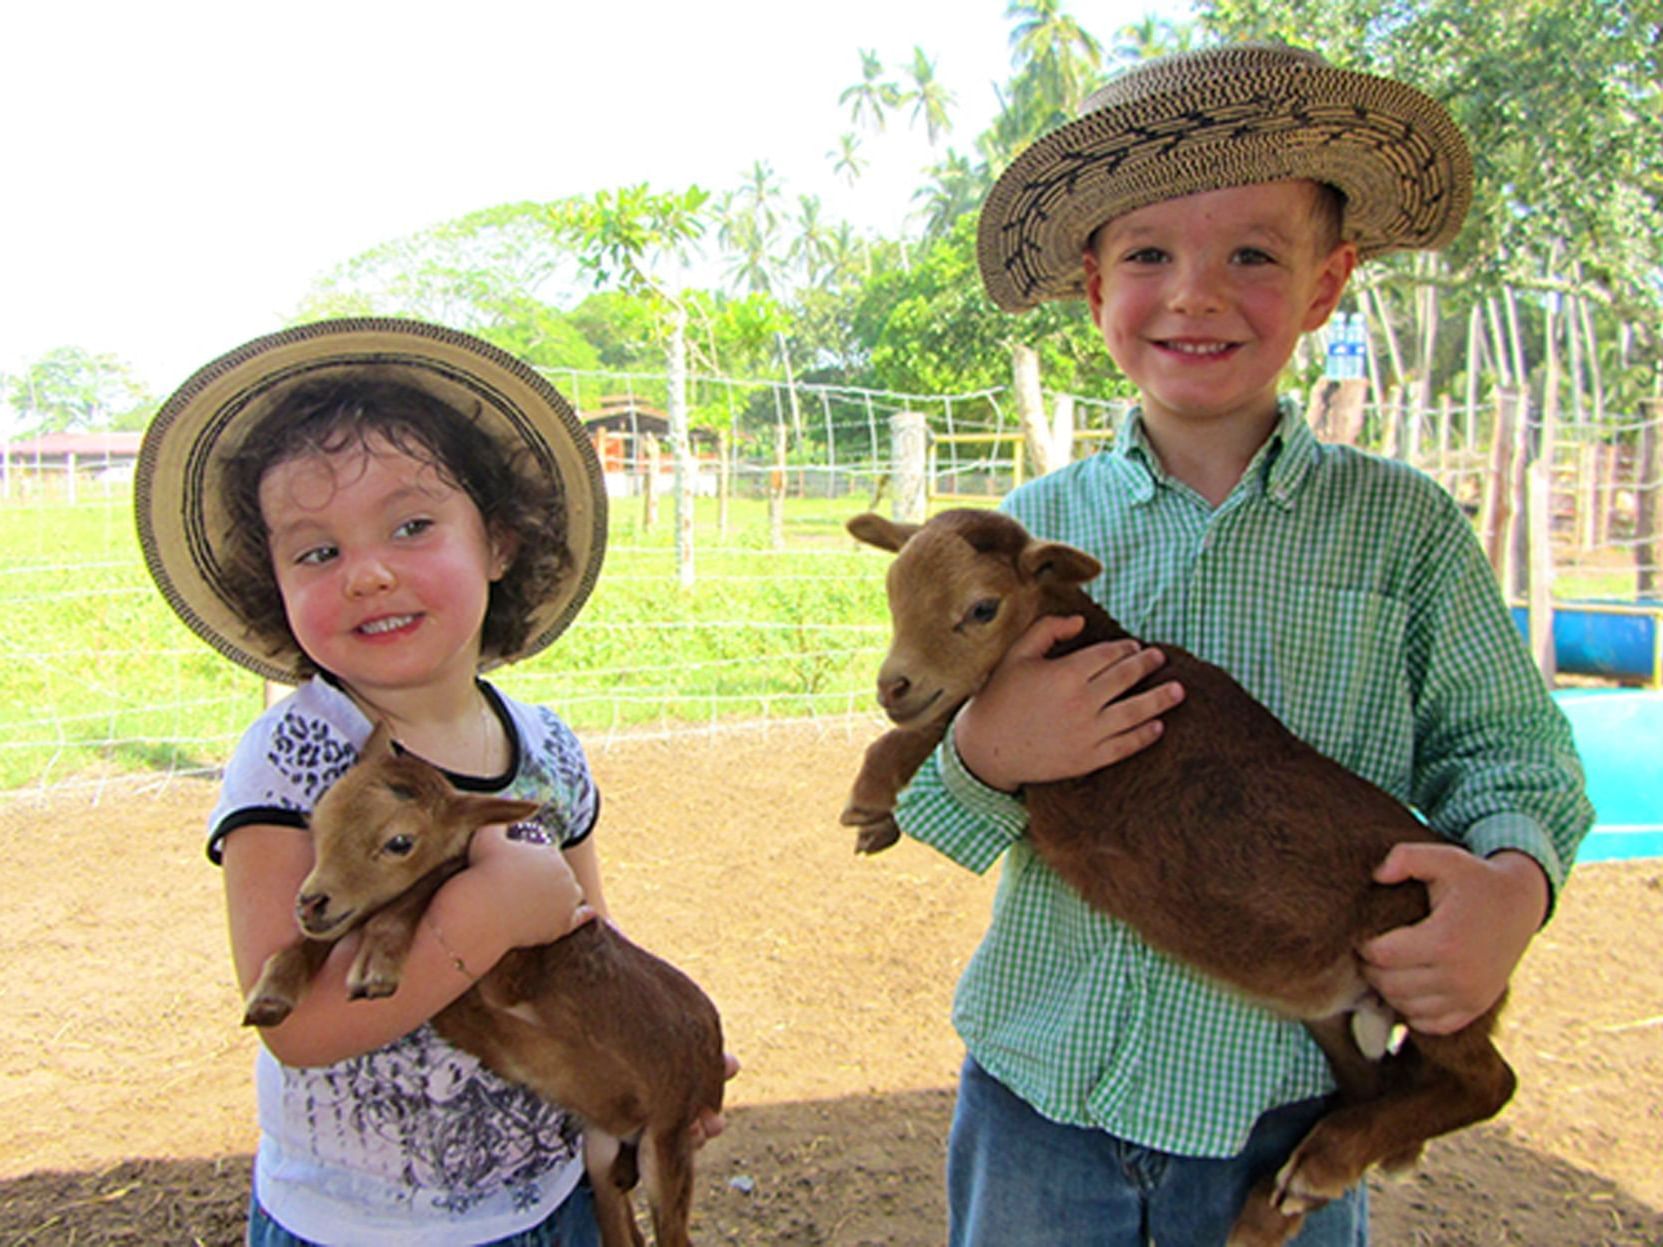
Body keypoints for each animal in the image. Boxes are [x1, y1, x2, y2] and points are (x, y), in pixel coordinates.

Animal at [242, 721, 725, 1247]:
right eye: (316, 822)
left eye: (400, 842)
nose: (311, 901)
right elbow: (324, 937)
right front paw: (272, 993)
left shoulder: (510, 974)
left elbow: (431, 880)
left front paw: (375, 965)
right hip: (602, 1147)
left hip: (669, 1136)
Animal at [851, 508, 1516, 1247]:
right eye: (891, 594)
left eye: (981, 608)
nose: (893, 685)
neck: (1090, 649)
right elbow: (956, 720)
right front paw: (875, 811)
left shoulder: (1070, 773)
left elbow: (952, 716)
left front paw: (873, 791)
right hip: (1330, 1010)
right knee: (1376, 1087)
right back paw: (1281, 1200)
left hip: (1433, 977)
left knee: (1488, 1083)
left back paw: (1320, 1166)